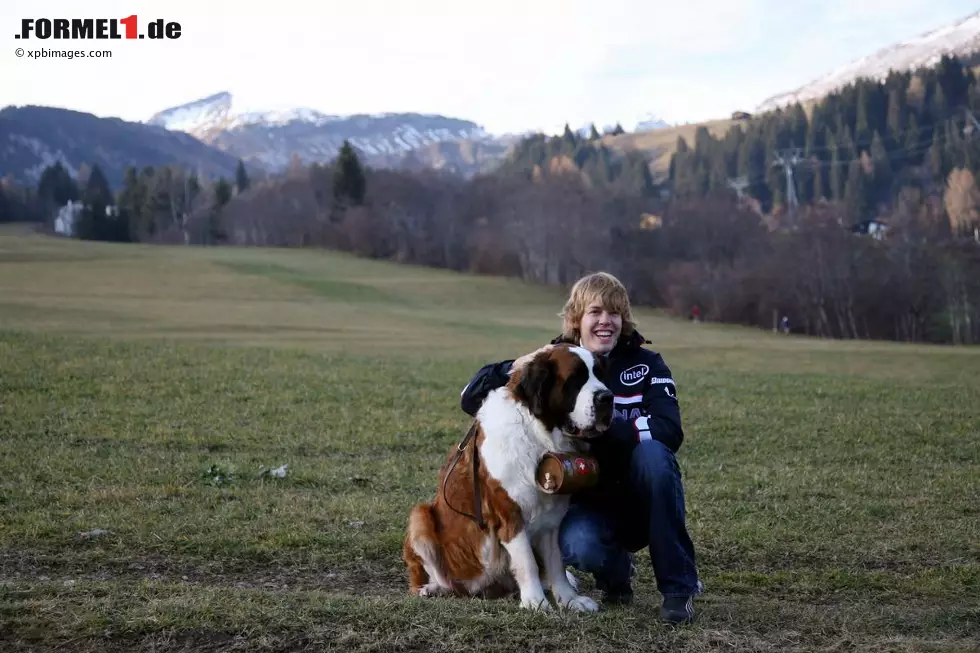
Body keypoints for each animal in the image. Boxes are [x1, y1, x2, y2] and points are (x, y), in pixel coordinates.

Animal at [402, 344, 608, 608]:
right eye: (575, 379)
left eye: (600, 375)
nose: (607, 397)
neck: (539, 437)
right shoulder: (510, 513)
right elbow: (528, 561)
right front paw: (536, 602)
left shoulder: (551, 519)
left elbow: (555, 563)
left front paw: (569, 600)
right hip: (421, 516)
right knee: (431, 576)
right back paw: (432, 588)